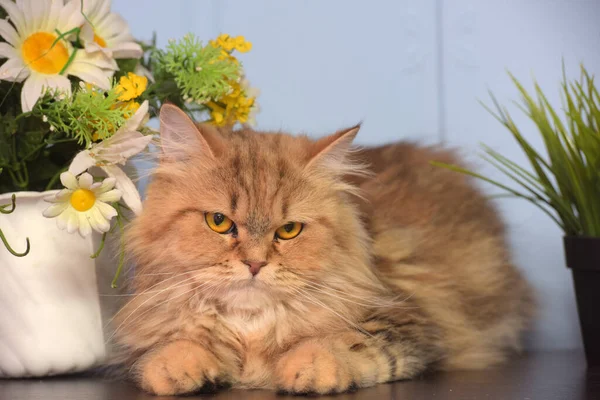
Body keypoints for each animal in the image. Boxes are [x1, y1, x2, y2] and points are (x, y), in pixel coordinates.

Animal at [112, 104, 536, 396]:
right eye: (218, 221)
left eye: (289, 230)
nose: (254, 264)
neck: (250, 330)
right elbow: (170, 348)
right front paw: (178, 368)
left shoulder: (410, 322)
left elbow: (345, 343)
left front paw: (307, 368)